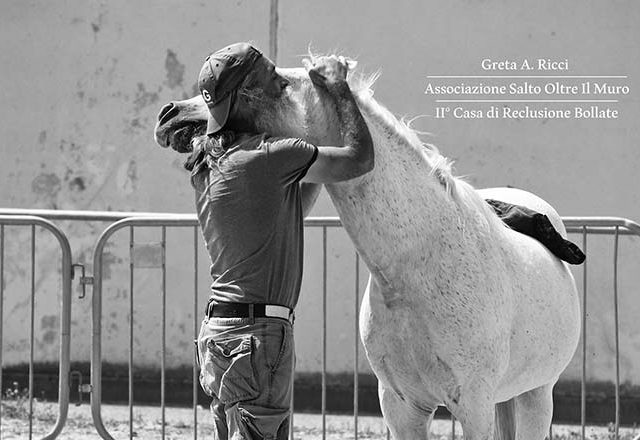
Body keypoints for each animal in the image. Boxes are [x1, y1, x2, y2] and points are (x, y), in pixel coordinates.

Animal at [154, 55, 581, 440]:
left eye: (280, 83)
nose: (170, 115)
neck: (418, 270)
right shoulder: (401, 406)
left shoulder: (474, 406)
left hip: (535, 395)